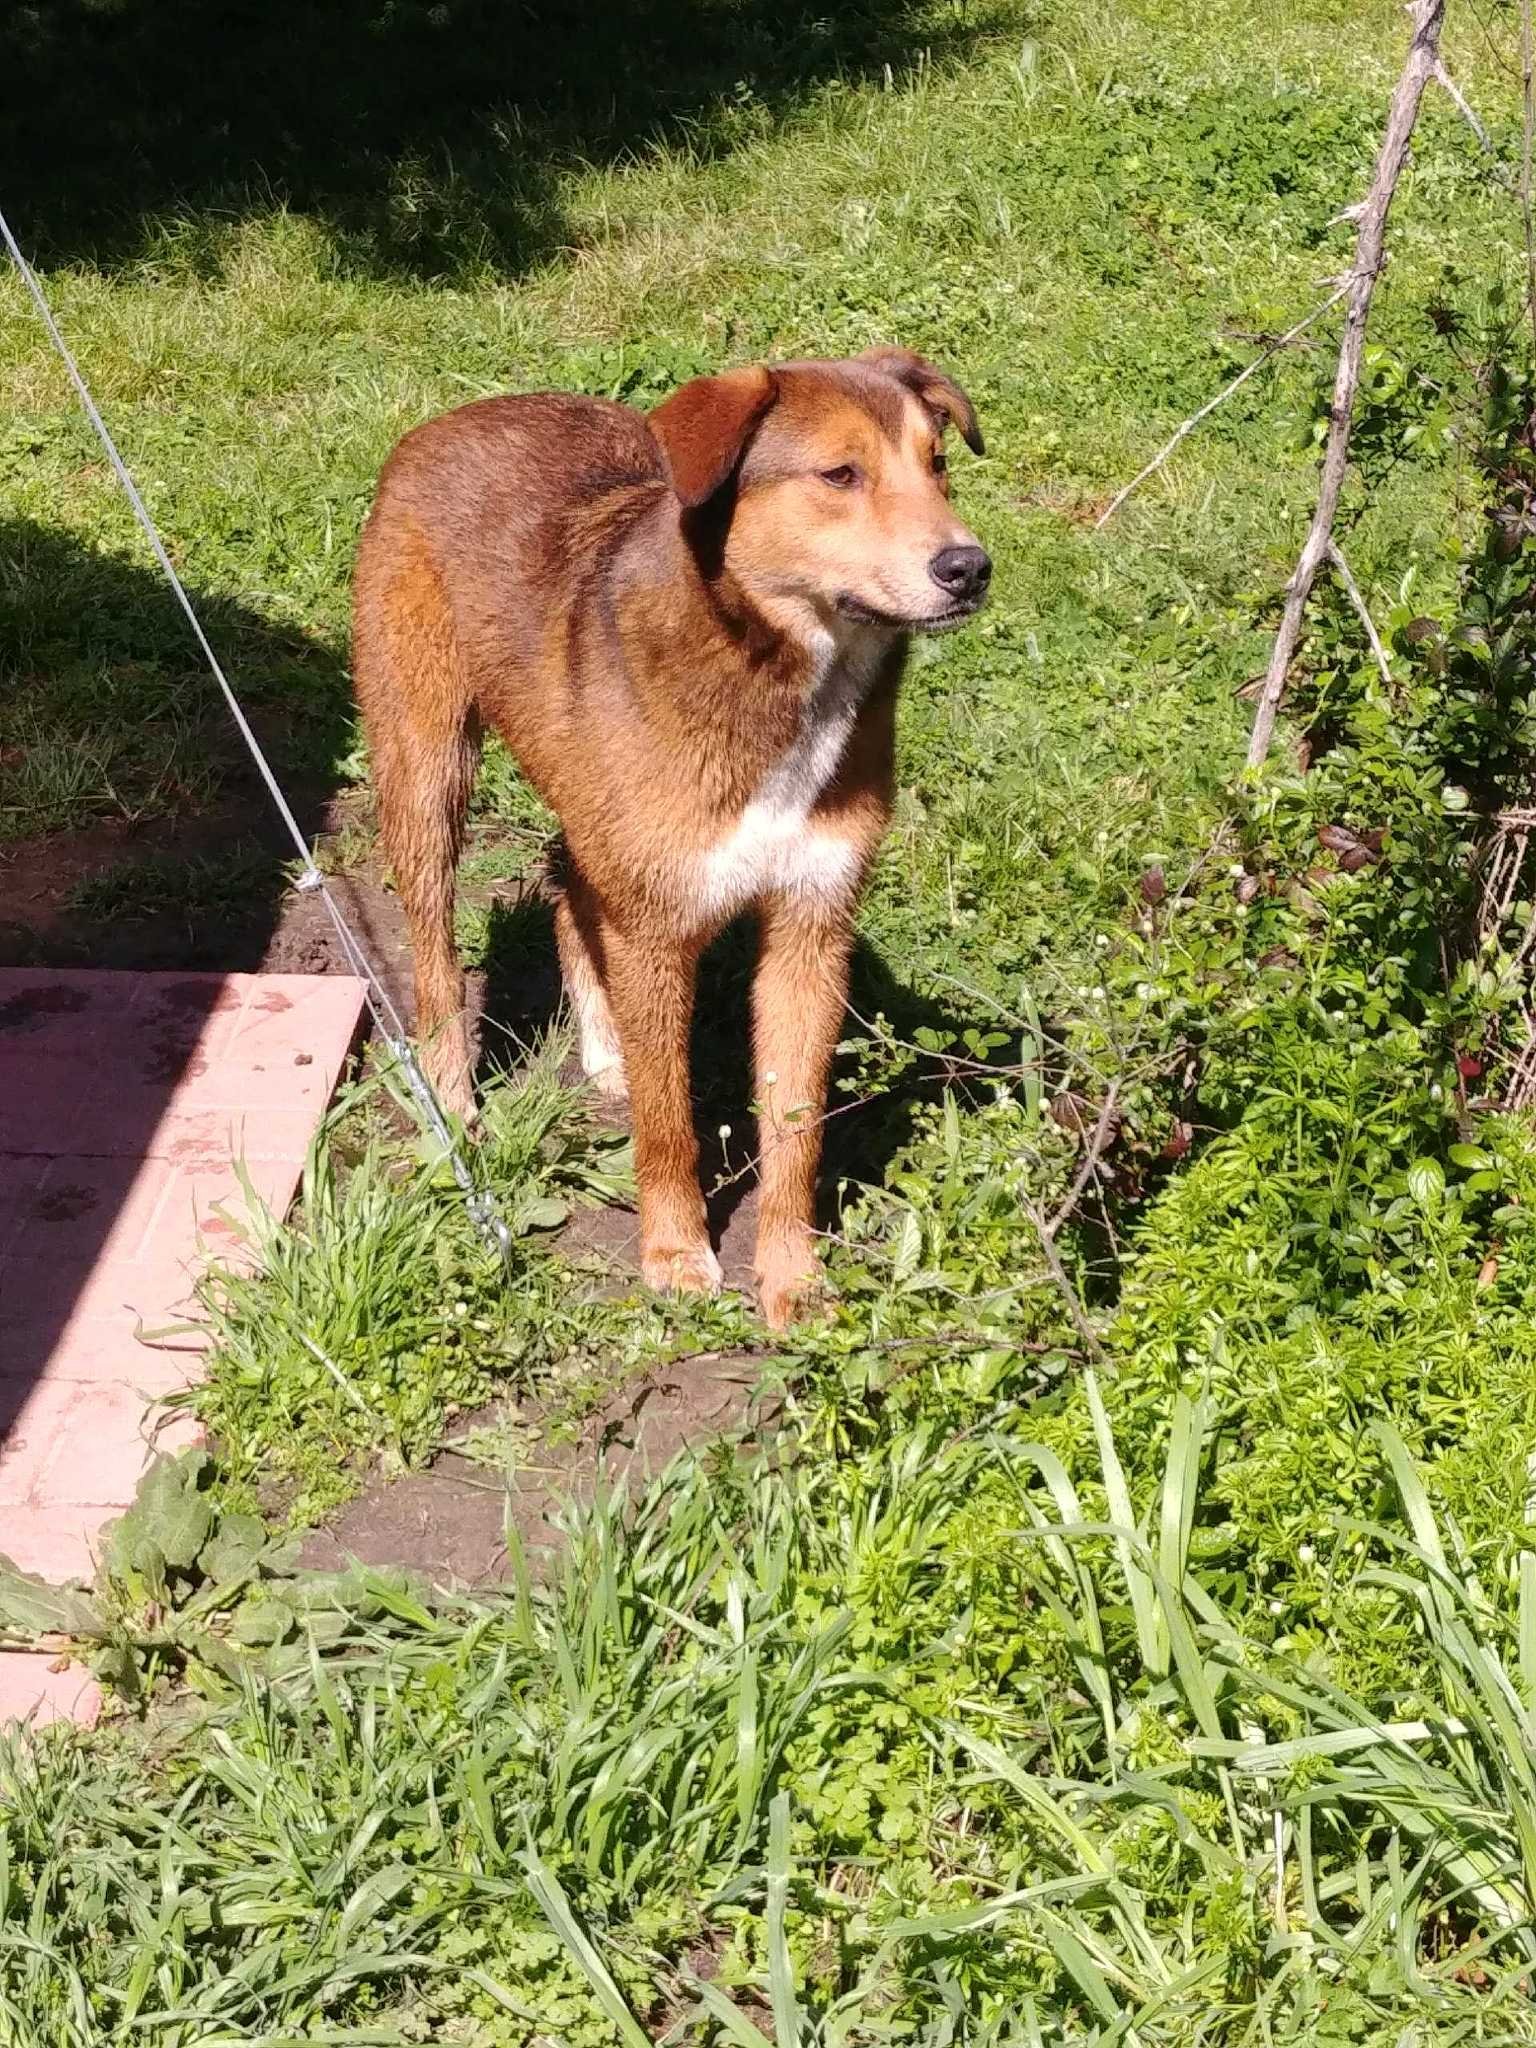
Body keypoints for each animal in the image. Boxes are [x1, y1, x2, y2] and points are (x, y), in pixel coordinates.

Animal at [354, 348, 991, 1327]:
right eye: (839, 475)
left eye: (939, 463)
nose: (970, 567)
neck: (785, 690)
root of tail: (451, 419)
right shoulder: (657, 927)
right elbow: (668, 1121)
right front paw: (675, 1253)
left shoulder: (812, 927)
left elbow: (796, 1127)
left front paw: (792, 1277)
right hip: (427, 774)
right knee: (435, 959)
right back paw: (455, 1101)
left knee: (569, 881)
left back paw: (604, 1042)